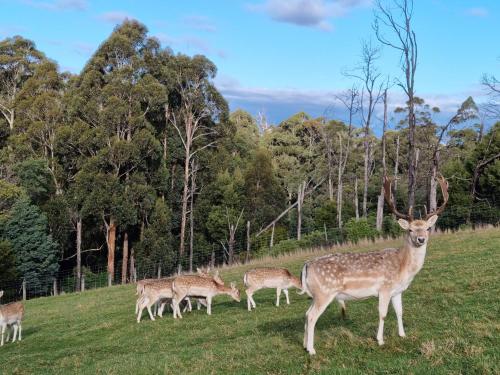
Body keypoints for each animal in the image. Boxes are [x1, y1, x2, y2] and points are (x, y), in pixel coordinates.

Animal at [300, 176, 450, 356]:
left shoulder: (397, 291)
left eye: (427, 228)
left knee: (306, 313)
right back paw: (312, 350)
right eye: (410, 230)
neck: (403, 267)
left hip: (316, 294)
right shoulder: (384, 288)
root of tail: (306, 266)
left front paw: (402, 334)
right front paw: (380, 340)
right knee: (312, 316)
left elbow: (400, 311)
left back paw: (304, 345)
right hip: (325, 292)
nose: (421, 239)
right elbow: (383, 314)